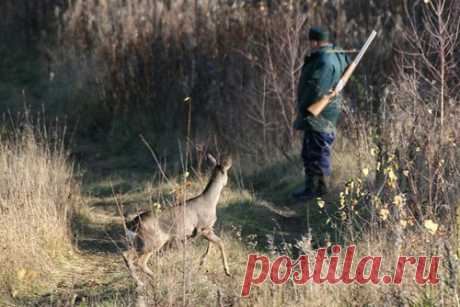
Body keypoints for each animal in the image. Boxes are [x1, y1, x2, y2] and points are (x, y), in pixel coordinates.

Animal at [122, 154, 232, 286]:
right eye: (227, 173)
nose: (227, 182)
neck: (210, 201)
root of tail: (133, 223)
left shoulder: (205, 229)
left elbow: (211, 244)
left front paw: (202, 261)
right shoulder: (203, 228)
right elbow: (220, 243)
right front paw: (227, 271)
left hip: (141, 241)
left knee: (127, 255)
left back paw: (146, 281)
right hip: (152, 241)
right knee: (138, 260)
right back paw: (151, 280)